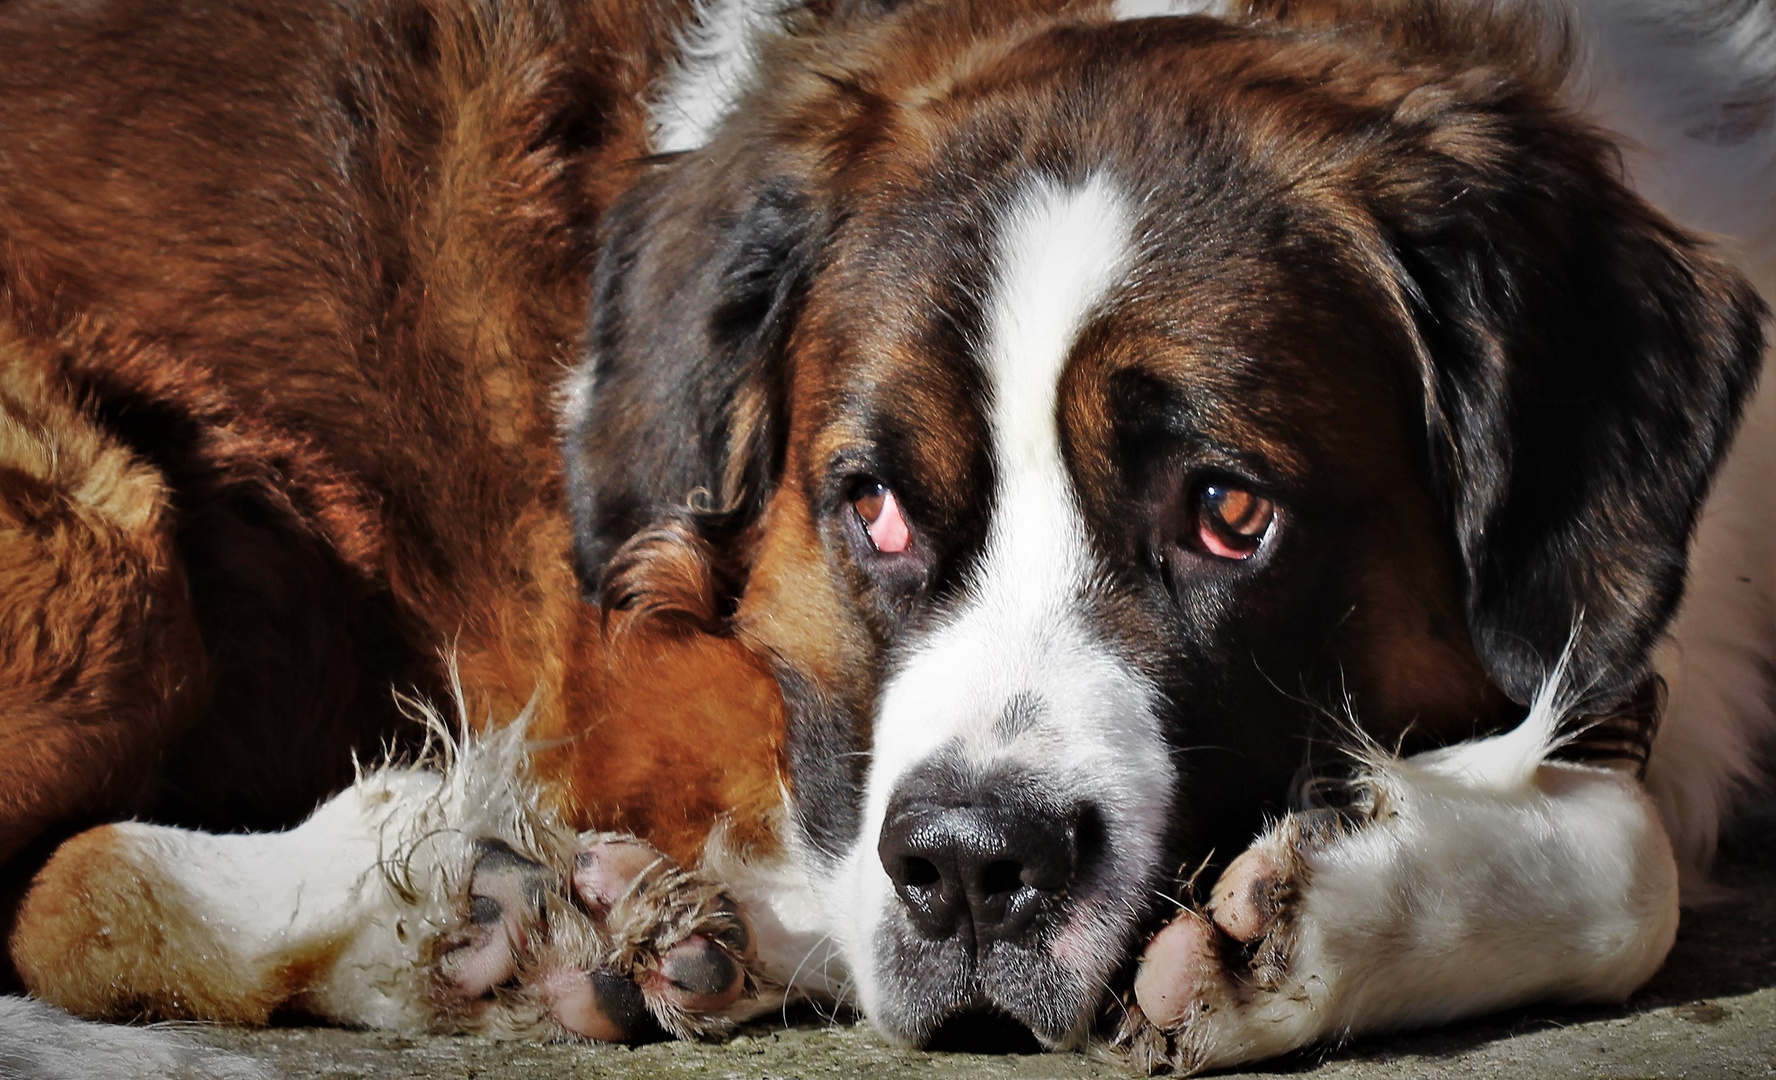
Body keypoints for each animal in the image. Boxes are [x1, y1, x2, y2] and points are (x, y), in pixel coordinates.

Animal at [3, 0, 1776, 1072]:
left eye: (1229, 514)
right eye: (874, 504)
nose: (975, 870)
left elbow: (1628, 847)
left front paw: (1312, 919)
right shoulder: (640, 672)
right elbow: (1634, 851)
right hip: (107, 552)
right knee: (58, 890)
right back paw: (451, 907)